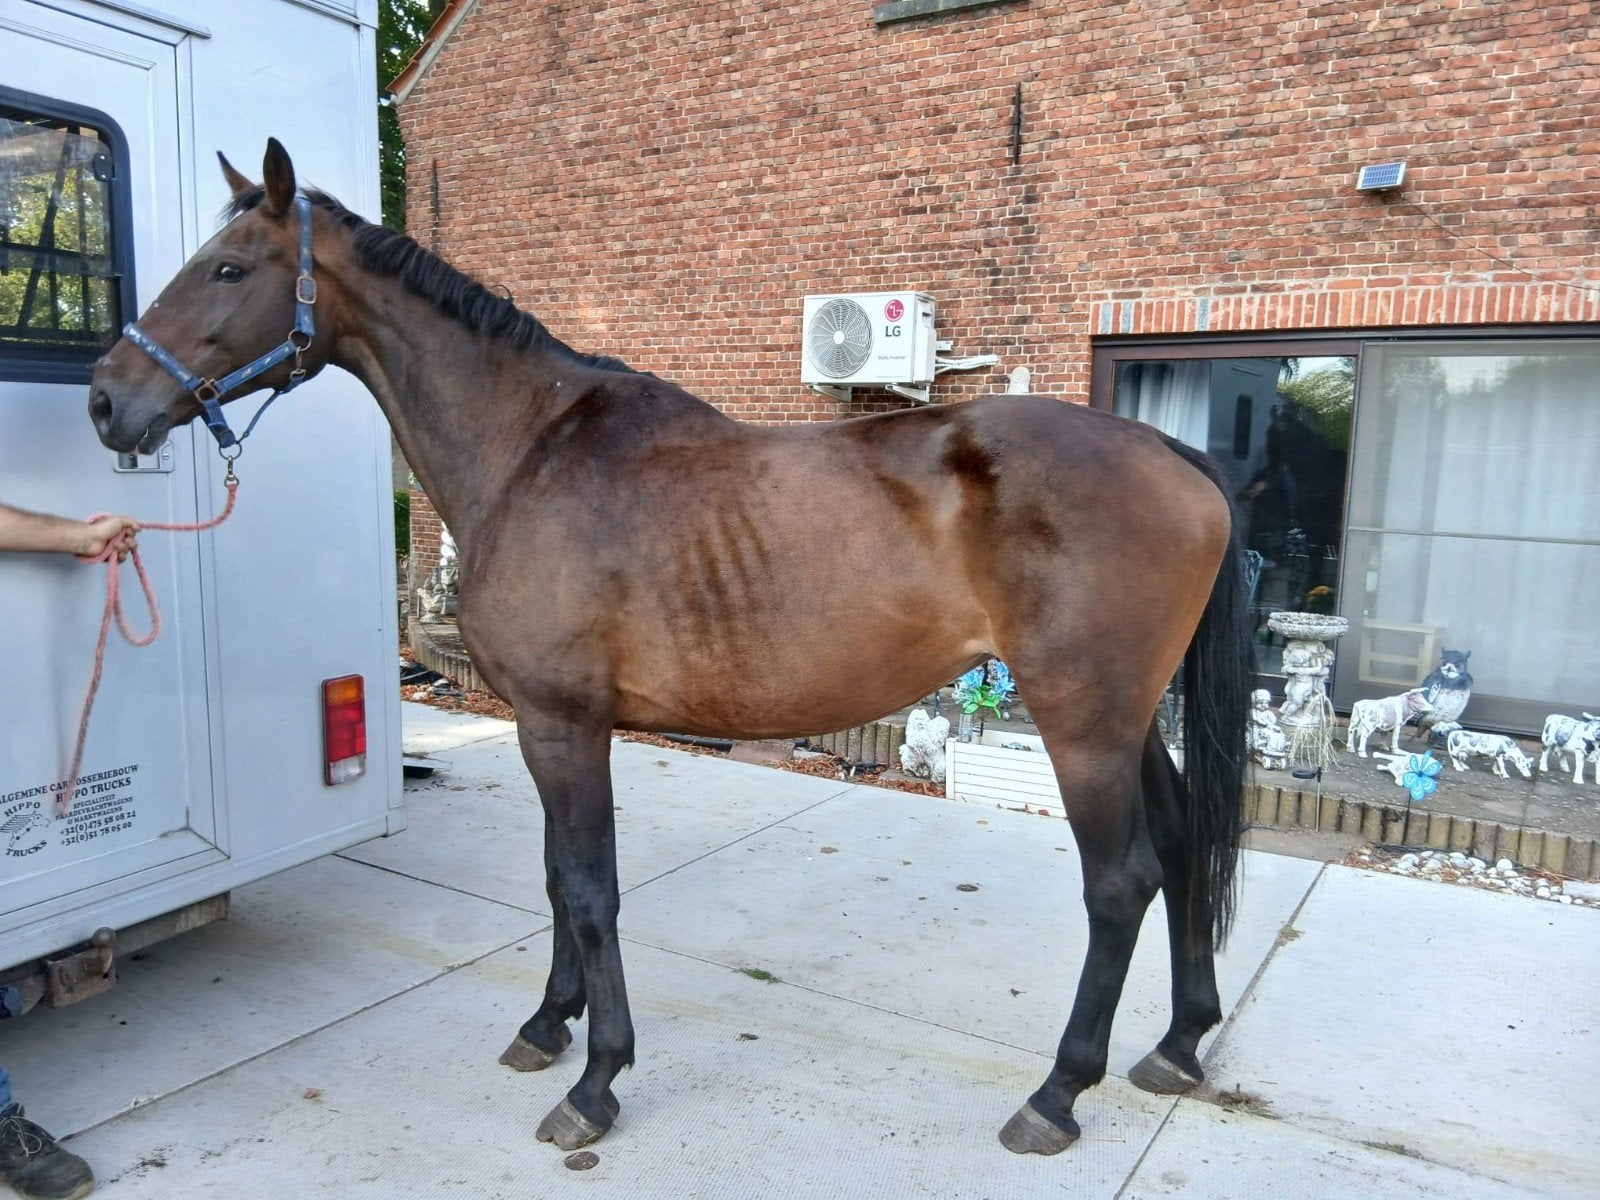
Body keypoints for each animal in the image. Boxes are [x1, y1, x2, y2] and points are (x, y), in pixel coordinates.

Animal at [88, 141, 1253, 1158]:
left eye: (228, 267)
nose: (106, 401)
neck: (529, 451)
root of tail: (1170, 451)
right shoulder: (548, 726)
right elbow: (558, 879)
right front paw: (545, 1026)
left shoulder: (564, 725)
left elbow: (591, 889)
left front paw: (595, 1081)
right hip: (1125, 718)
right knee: (1182, 840)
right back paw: (1178, 1043)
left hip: (1081, 722)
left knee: (1121, 883)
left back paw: (1056, 1095)